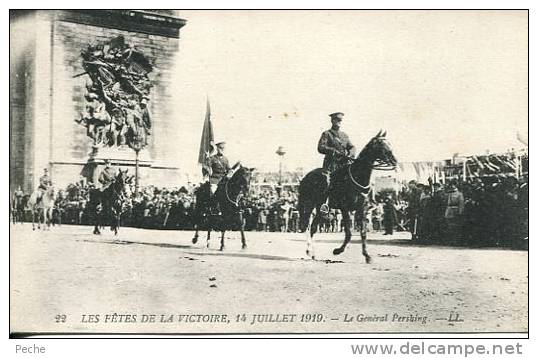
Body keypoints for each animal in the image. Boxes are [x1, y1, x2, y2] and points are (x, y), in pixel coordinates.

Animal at [296, 130, 396, 262]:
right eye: (381, 144)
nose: (394, 161)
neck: (357, 177)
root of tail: (306, 177)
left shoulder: (361, 209)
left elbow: (363, 232)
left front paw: (367, 255)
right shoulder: (345, 209)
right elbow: (348, 233)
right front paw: (338, 251)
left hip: (319, 208)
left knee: (313, 226)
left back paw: (312, 253)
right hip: (309, 204)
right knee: (308, 224)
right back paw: (309, 251)